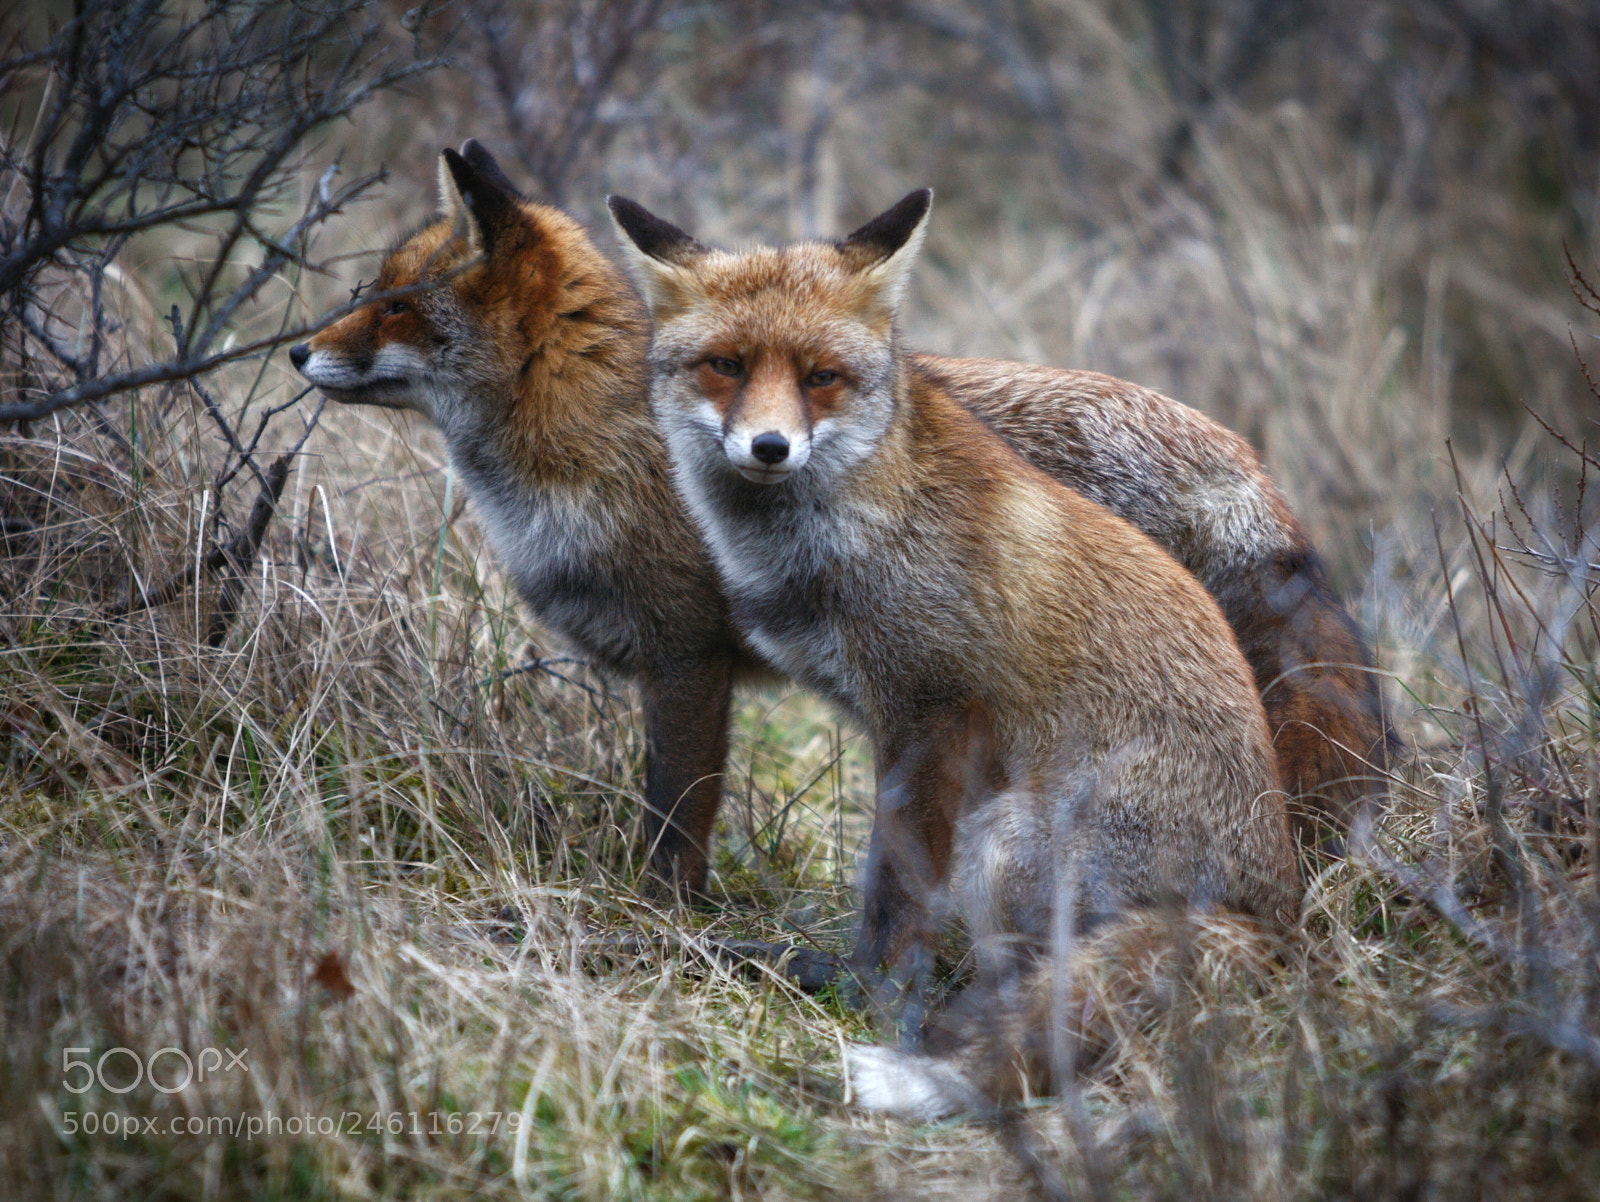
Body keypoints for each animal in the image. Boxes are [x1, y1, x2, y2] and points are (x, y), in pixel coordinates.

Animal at [292, 141, 1383, 904]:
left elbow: (676, 818)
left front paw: (657, 921)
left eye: (395, 306)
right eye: (365, 292)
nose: (297, 352)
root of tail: (1250, 465)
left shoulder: (687, 657)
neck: (592, 429)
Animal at [609, 187, 1302, 1111]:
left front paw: (871, 998)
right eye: (726, 364)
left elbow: (895, 894)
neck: (854, 521)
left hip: (1000, 841)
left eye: (820, 377)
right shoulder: (896, 719)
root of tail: (1272, 920)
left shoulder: (932, 711)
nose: (770, 447)